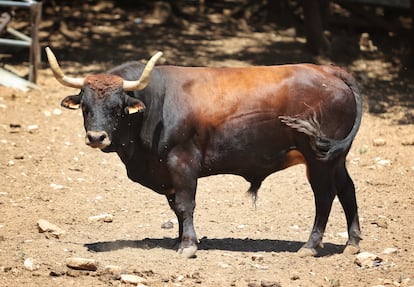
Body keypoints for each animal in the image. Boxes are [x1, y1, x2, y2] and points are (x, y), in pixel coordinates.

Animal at [46, 47, 362, 258]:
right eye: (85, 107)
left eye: (117, 107)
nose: (96, 137)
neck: (158, 102)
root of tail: (330, 71)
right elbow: (176, 207)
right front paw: (179, 240)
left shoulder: (182, 162)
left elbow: (186, 204)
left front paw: (187, 245)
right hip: (334, 158)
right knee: (347, 189)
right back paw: (352, 242)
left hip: (318, 159)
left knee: (325, 196)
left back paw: (310, 246)